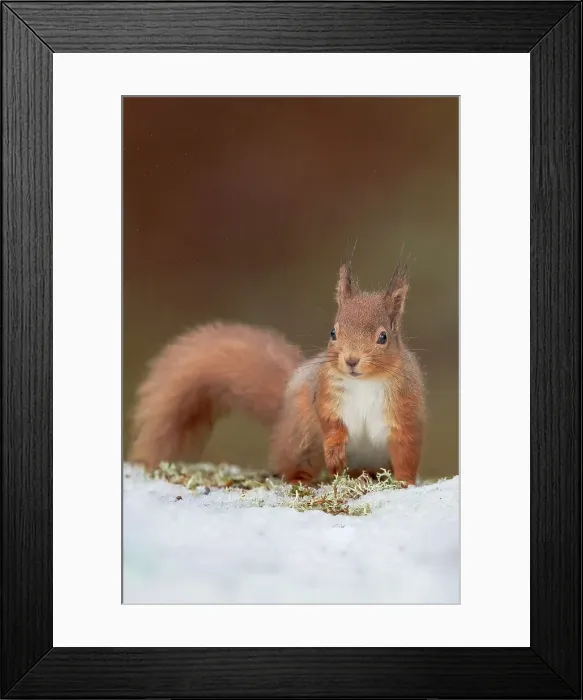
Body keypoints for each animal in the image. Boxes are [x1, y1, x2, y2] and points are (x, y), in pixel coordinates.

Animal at [129, 261, 426, 485]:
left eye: (383, 337)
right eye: (333, 332)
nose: (351, 360)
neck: (363, 382)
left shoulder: (404, 409)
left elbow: (406, 449)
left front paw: (405, 482)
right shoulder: (325, 392)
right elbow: (329, 421)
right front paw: (334, 451)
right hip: (301, 434)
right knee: (291, 463)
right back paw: (302, 478)